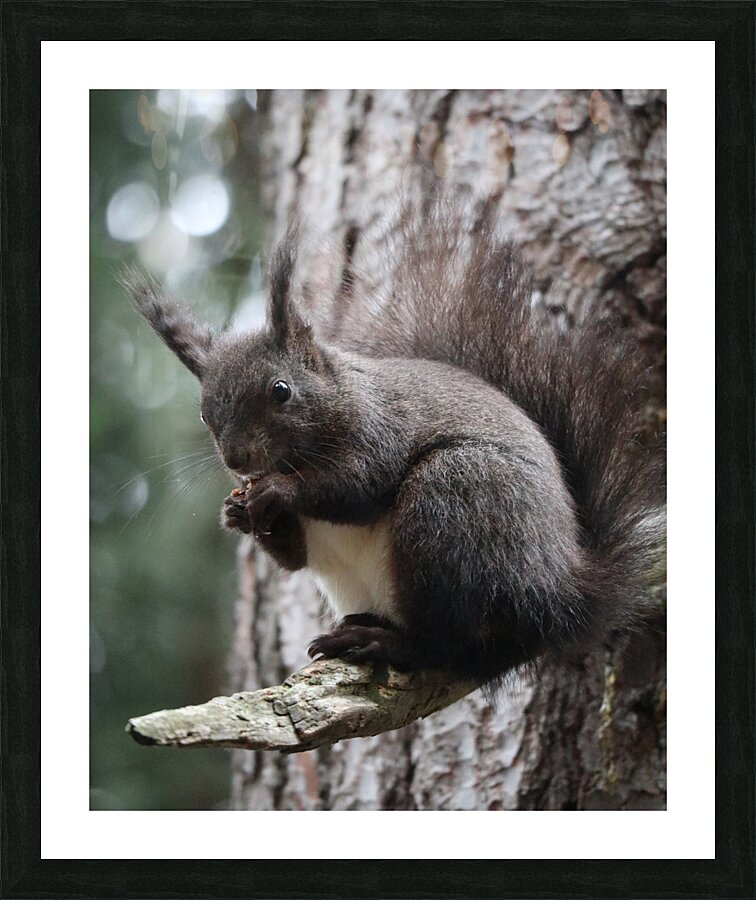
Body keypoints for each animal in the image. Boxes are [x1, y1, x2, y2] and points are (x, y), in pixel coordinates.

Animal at [126, 202, 666, 691]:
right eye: (204, 413)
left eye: (280, 390)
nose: (236, 460)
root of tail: (561, 593)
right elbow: (294, 558)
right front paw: (236, 513)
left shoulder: (381, 429)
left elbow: (358, 487)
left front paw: (275, 492)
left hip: (459, 501)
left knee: (450, 644)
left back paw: (386, 643)